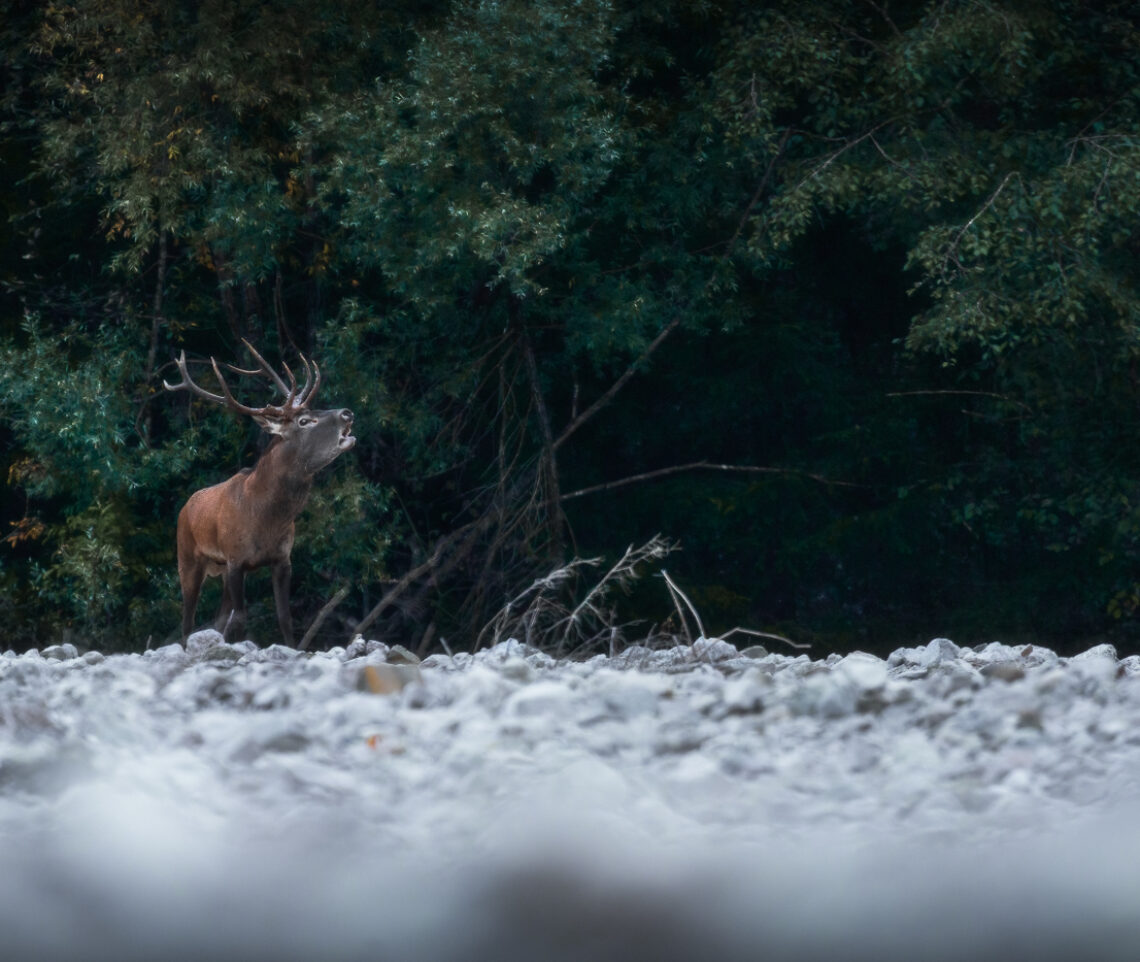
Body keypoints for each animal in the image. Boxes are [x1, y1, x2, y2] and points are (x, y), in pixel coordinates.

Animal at [163, 337, 353, 647]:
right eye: (304, 421)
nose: (347, 413)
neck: (266, 518)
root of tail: (184, 508)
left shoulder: (282, 558)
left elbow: (284, 617)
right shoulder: (235, 558)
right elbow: (240, 619)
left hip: (218, 568)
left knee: (217, 618)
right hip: (188, 557)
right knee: (187, 620)